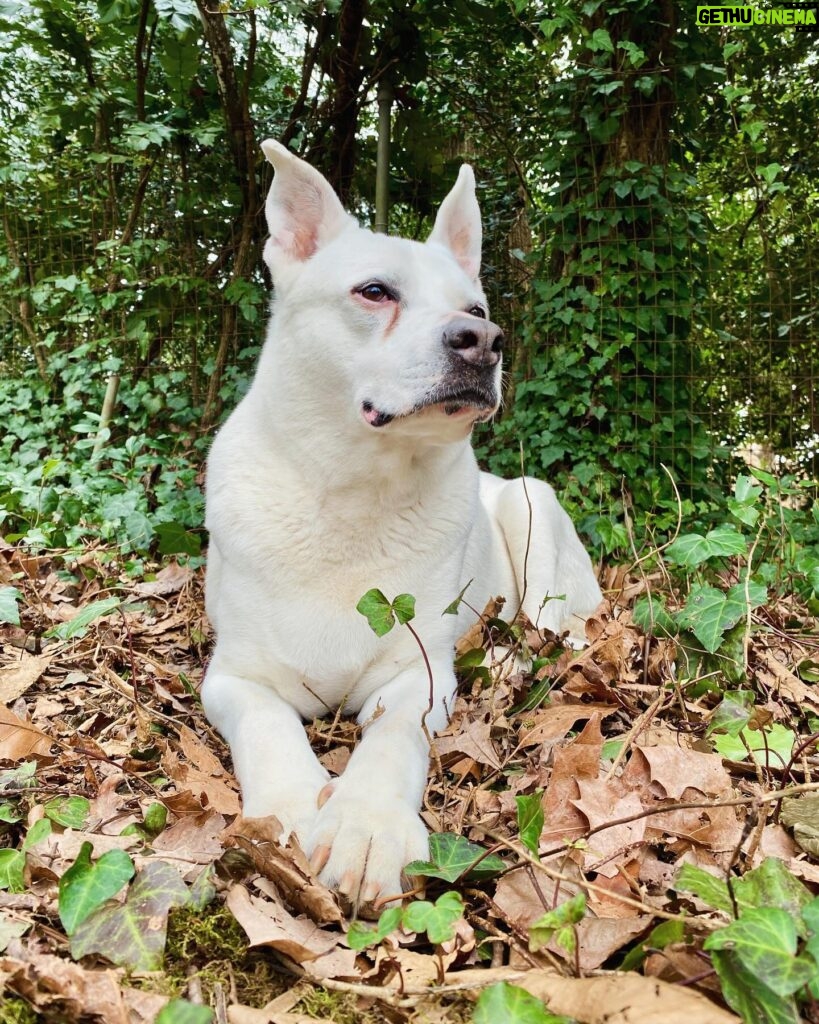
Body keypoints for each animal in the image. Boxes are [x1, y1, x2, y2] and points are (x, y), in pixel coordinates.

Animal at [204, 140, 601, 909]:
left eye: (476, 307)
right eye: (374, 292)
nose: (483, 341)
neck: (352, 495)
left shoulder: (417, 676)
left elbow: (393, 741)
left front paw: (367, 827)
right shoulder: (233, 678)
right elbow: (267, 725)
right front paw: (294, 807)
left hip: (533, 510)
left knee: (552, 629)